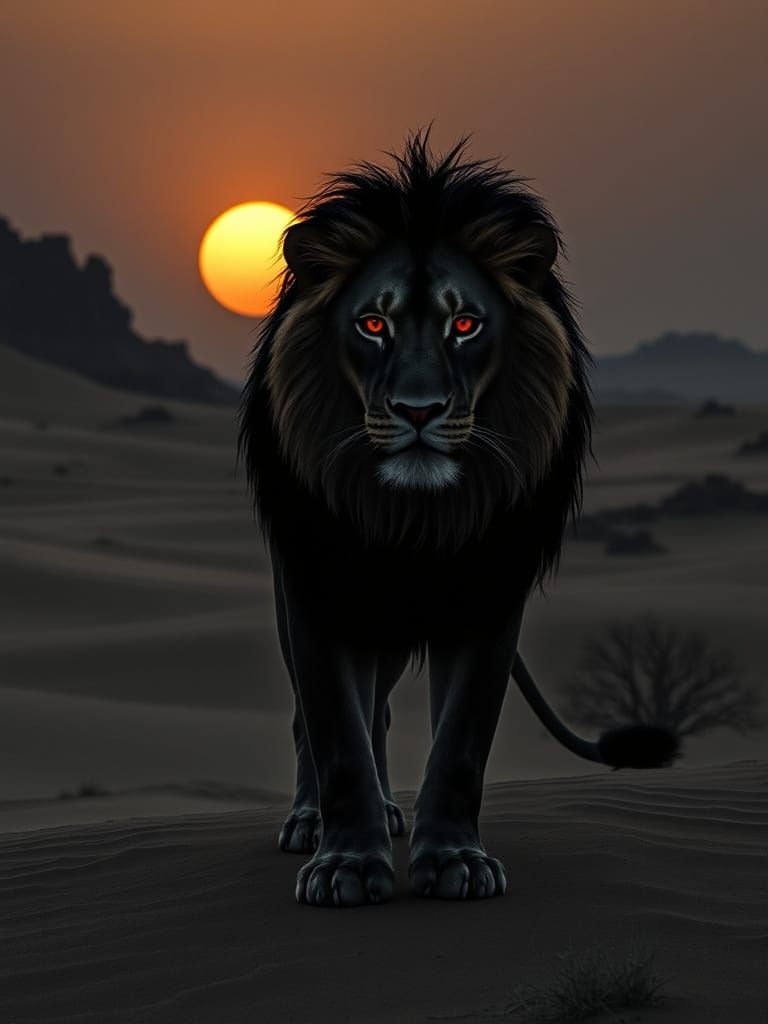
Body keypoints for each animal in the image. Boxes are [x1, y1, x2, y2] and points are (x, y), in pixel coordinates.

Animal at [239, 130, 677, 908]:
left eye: (465, 325)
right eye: (372, 324)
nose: (419, 411)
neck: (416, 519)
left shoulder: (490, 594)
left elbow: (462, 740)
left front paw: (455, 861)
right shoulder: (321, 590)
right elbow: (335, 733)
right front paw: (345, 865)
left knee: (383, 710)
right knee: (321, 721)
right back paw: (314, 822)